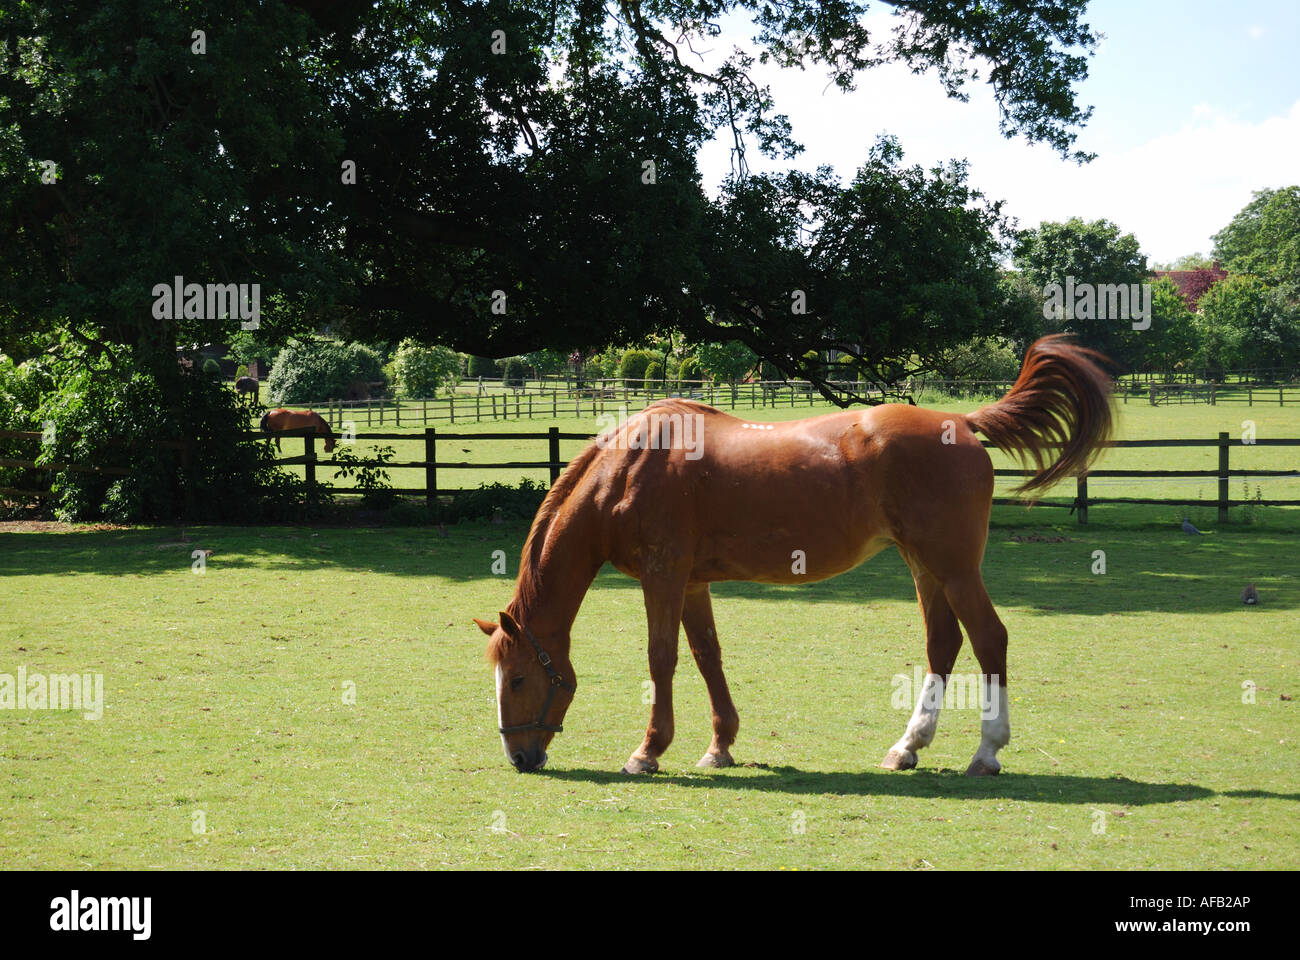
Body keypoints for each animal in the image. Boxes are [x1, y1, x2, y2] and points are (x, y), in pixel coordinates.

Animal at [473, 333, 1112, 775]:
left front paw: (648, 751)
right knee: (943, 644)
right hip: (924, 566)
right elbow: (707, 656)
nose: (519, 758)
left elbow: (662, 658)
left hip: (953, 568)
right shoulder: (692, 583)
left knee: (989, 640)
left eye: (520, 678)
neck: (628, 468)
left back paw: (986, 753)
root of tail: (960, 419)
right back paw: (908, 746)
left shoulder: (663, 576)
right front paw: (720, 745)